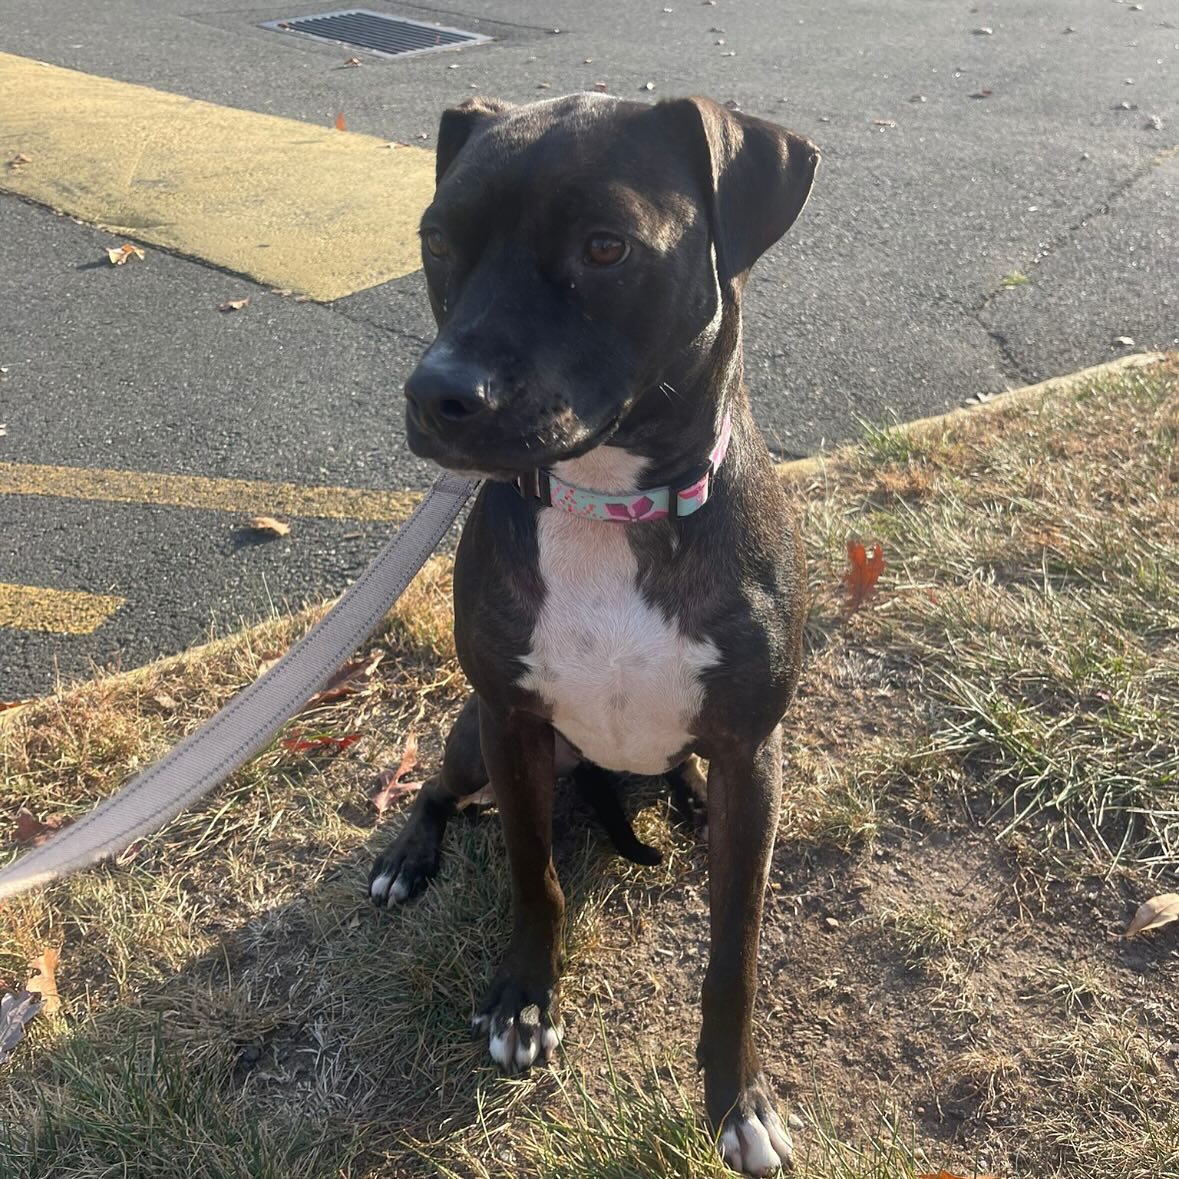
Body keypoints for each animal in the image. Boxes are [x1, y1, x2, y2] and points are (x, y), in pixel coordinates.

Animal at [370, 94, 820, 1179]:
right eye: (435, 239)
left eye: (606, 247)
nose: (437, 394)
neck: (607, 505)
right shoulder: (511, 721)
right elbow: (533, 875)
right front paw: (524, 1004)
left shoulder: (754, 751)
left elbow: (736, 946)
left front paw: (738, 1094)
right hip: (467, 735)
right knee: (439, 790)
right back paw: (408, 855)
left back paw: (686, 800)